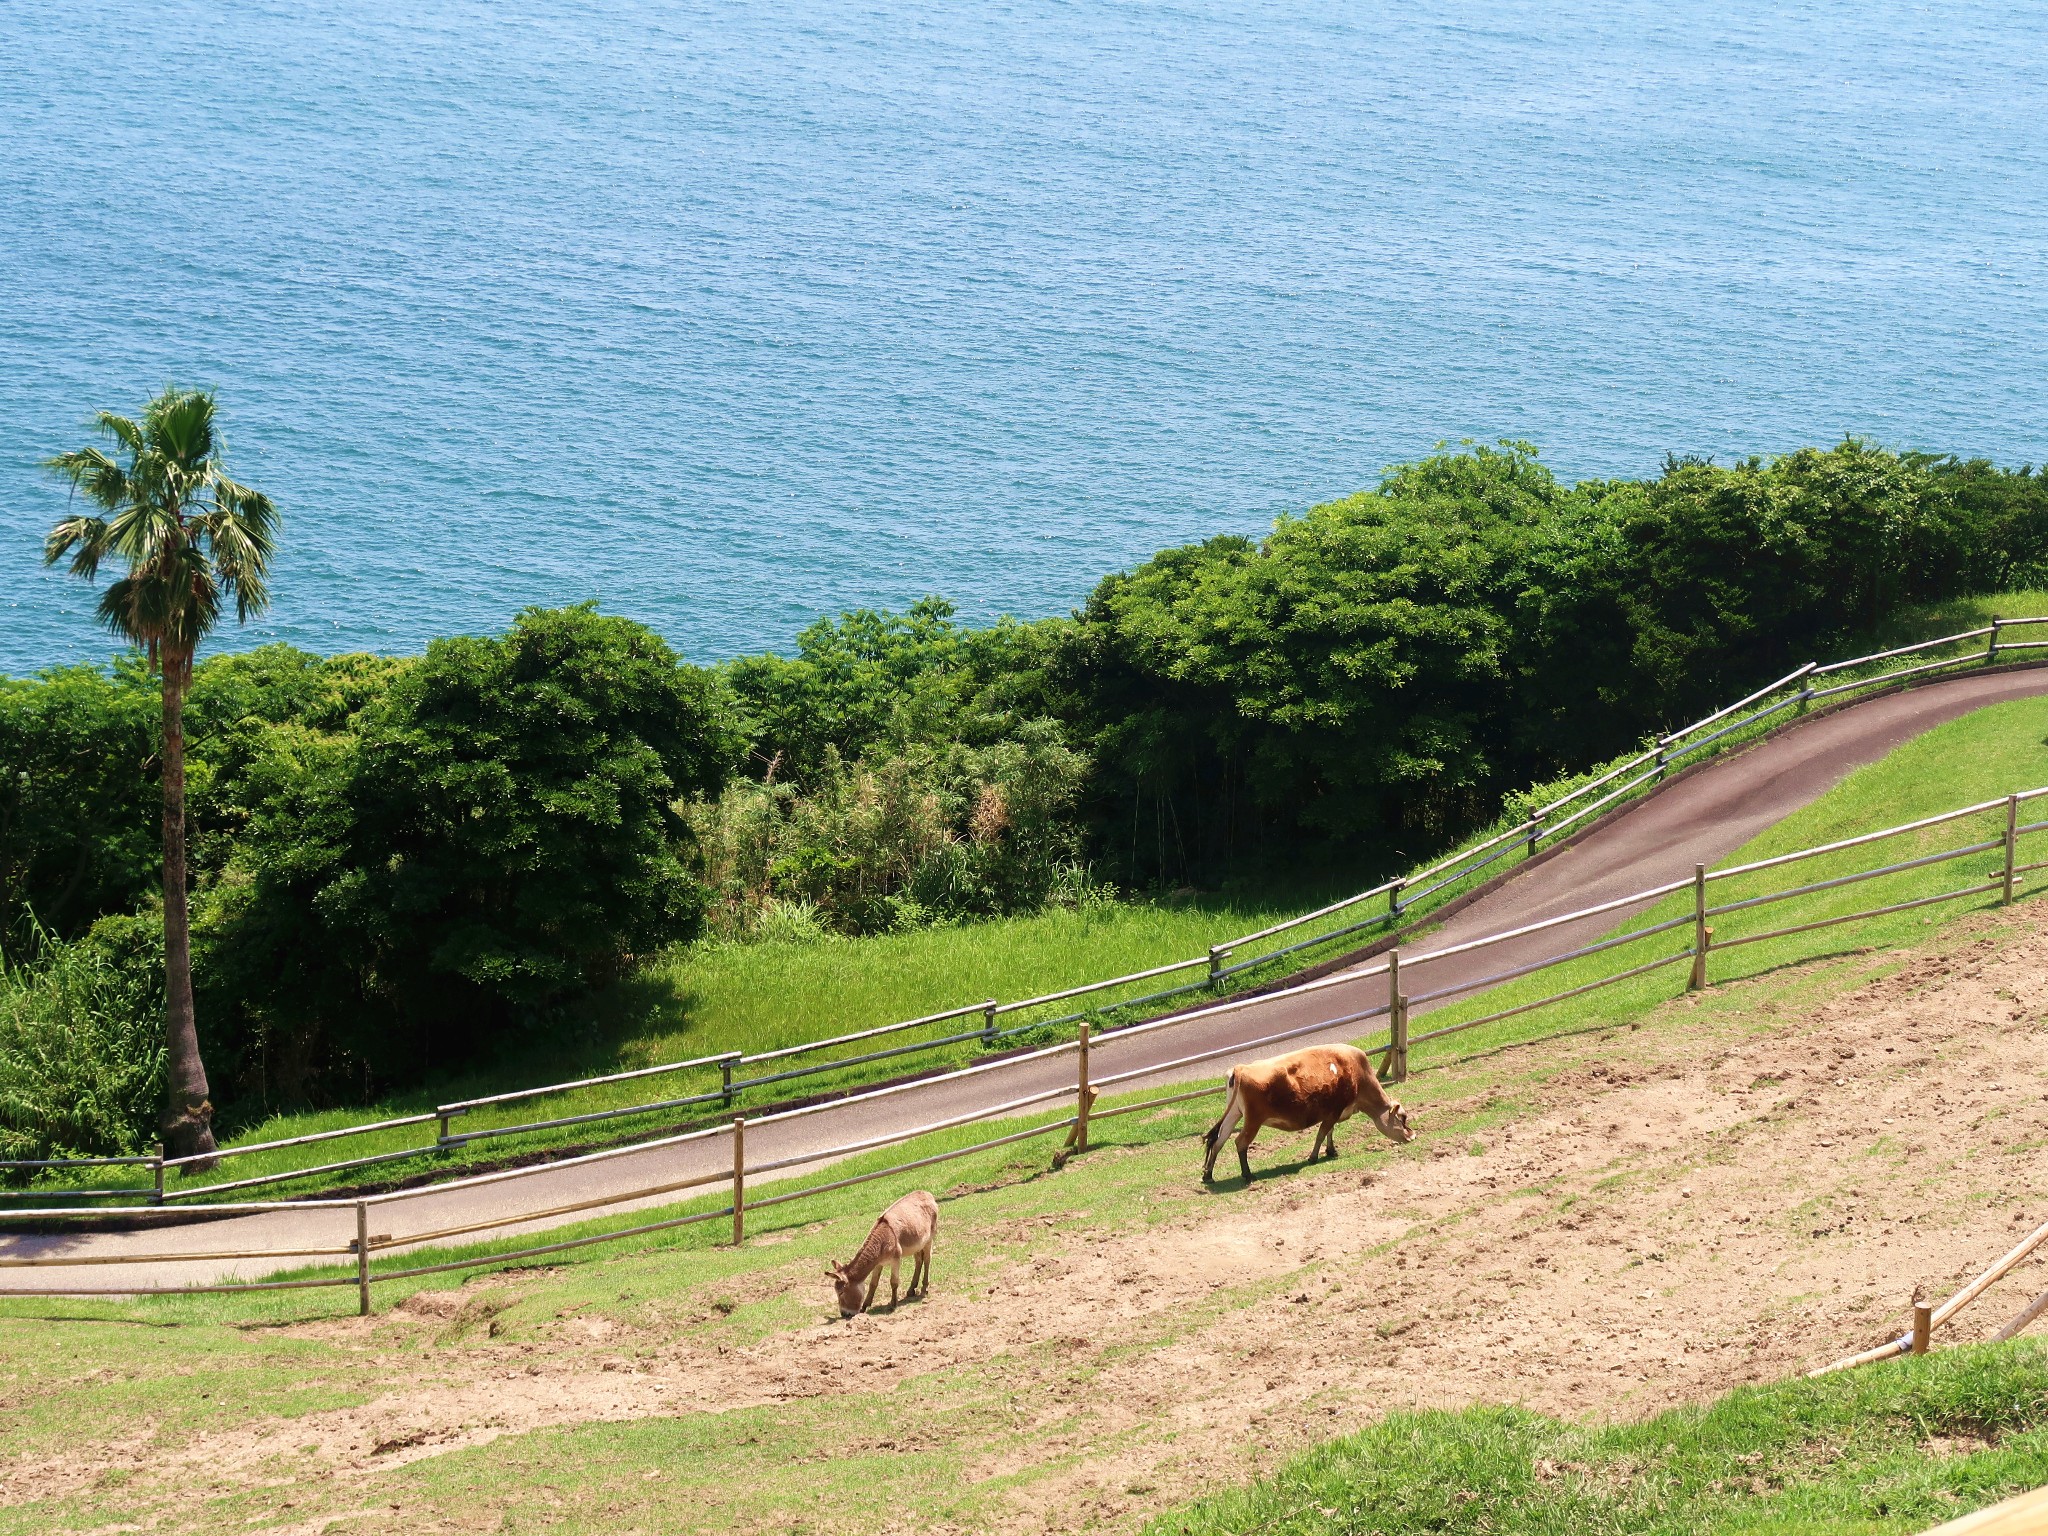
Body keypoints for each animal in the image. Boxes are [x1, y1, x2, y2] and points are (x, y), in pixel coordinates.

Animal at [1196, 1048, 1409, 1187]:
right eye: (1403, 1117)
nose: (1412, 1135)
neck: (1357, 1072)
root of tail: (1241, 1068)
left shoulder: (1333, 1112)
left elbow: (1329, 1132)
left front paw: (1331, 1151)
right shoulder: (1334, 1110)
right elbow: (1322, 1133)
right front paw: (1313, 1157)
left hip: (1234, 1114)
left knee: (1219, 1141)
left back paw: (1209, 1175)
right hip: (1253, 1120)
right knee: (1240, 1142)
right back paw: (1248, 1175)